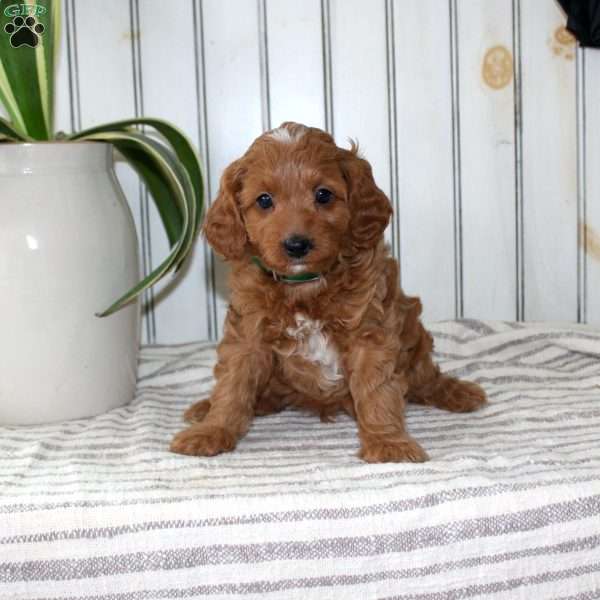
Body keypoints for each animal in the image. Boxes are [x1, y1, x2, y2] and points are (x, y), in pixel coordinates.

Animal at [170, 119, 488, 462]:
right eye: (264, 200)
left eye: (323, 194)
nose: (296, 245)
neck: (304, 287)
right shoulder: (247, 334)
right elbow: (232, 386)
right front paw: (212, 430)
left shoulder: (369, 331)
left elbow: (376, 390)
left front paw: (388, 443)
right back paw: (208, 408)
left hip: (413, 335)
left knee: (426, 377)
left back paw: (458, 392)